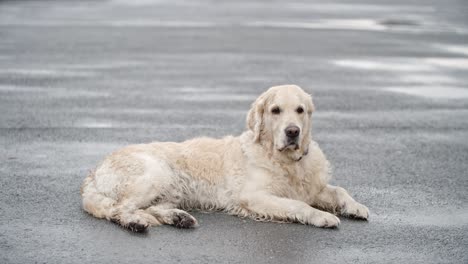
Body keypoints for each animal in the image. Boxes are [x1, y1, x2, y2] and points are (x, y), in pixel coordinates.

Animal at [80, 84, 370, 231]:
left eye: (300, 110)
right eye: (276, 110)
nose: (292, 132)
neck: (284, 161)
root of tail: (94, 171)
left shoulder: (313, 186)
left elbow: (339, 190)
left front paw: (355, 207)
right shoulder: (254, 196)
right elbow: (297, 205)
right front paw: (322, 216)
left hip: (170, 187)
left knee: (150, 207)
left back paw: (179, 218)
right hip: (154, 173)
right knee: (120, 208)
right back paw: (136, 222)